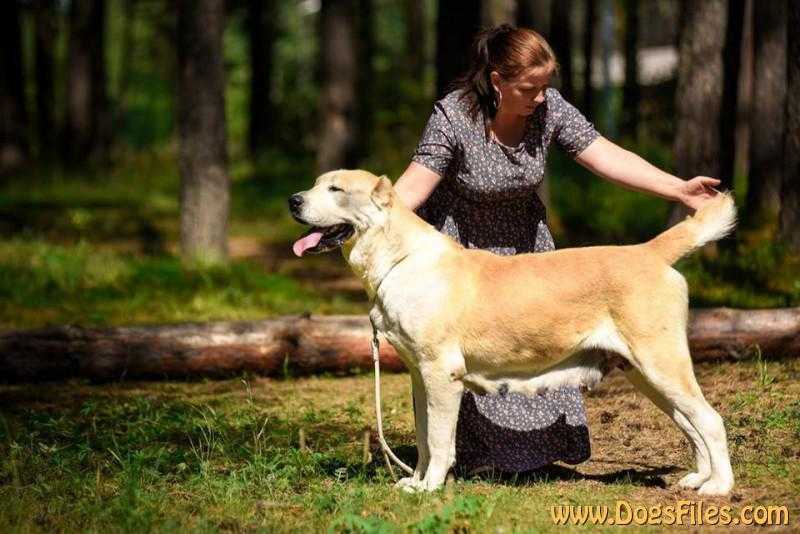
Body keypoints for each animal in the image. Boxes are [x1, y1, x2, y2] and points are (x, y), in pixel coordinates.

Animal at [290, 170, 736, 496]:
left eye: (335, 189)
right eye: (316, 183)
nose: (294, 200)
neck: (397, 258)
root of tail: (648, 251)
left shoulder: (441, 374)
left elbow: (439, 440)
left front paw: (431, 487)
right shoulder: (419, 375)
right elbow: (423, 437)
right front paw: (414, 482)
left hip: (661, 362)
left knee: (710, 419)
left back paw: (719, 487)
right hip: (645, 373)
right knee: (689, 423)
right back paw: (698, 478)